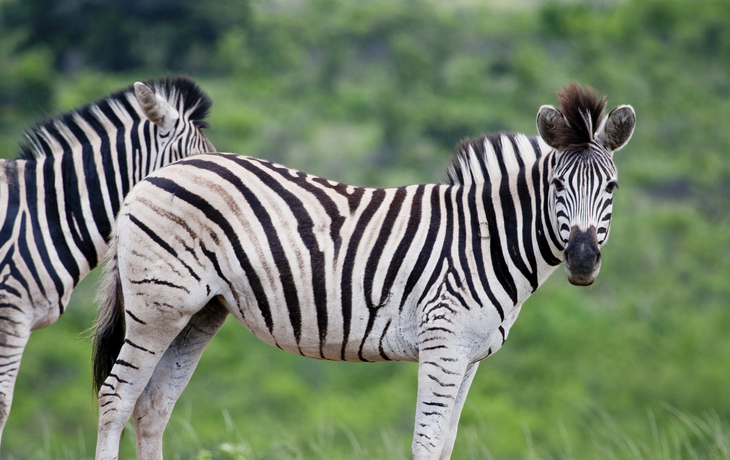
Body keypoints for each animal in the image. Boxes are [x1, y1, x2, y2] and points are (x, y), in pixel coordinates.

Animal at [92, 84, 635, 460]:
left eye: (611, 188)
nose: (582, 261)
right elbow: (426, 443)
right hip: (157, 305)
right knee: (117, 397)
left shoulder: (470, 356)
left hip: (199, 312)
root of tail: (155, 175)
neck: (485, 241)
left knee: (152, 406)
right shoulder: (443, 345)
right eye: (558, 185)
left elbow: (446, 443)